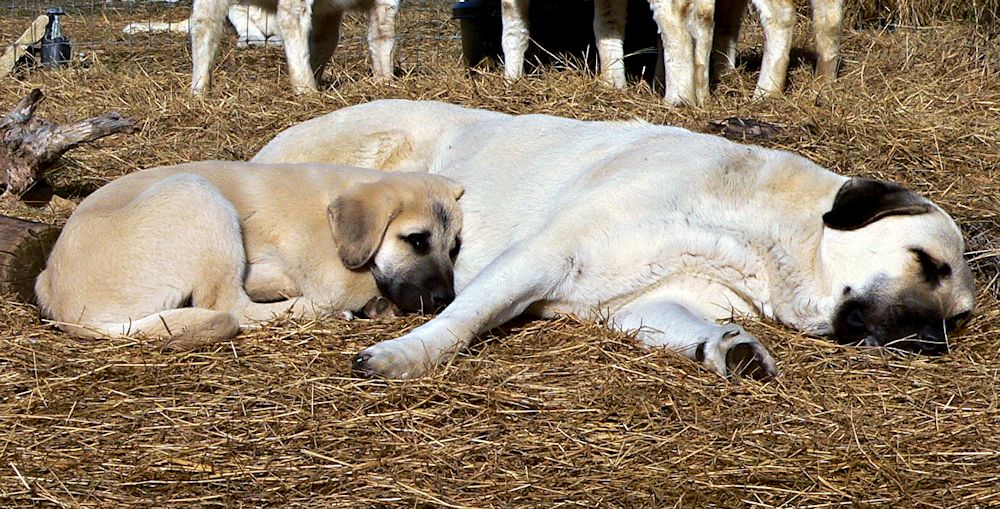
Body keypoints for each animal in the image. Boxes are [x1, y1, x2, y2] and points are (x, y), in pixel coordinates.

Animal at [34, 162, 464, 350]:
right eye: (417, 241)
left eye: (454, 249)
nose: (447, 299)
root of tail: (61, 304)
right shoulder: (337, 275)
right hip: (195, 193)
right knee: (230, 307)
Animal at [188, 0, 398, 93]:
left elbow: (323, 43)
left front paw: (384, 81)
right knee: (291, 18)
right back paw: (306, 89)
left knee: (204, 25)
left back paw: (199, 90)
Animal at [250, 100, 976, 378]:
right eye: (926, 263)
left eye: (962, 318)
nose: (932, 345)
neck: (756, 235)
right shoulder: (540, 255)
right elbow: (461, 318)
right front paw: (405, 355)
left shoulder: (643, 301)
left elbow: (697, 327)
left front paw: (732, 348)